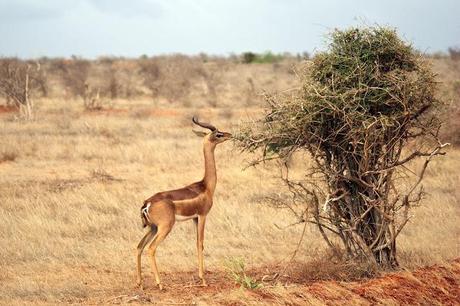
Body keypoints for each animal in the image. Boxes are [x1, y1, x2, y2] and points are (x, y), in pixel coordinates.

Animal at [136, 116, 230, 290]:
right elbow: (200, 243)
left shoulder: (194, 218)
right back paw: (160, 284)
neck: (205, 186)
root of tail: (147, 204)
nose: (229, 134)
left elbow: (196, 243)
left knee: (139, 246)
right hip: (165, 227)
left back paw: (140, 283)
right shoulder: (203, 215)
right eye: (218, 134)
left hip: (153, 227)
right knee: (151, 248)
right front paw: (203, 280)